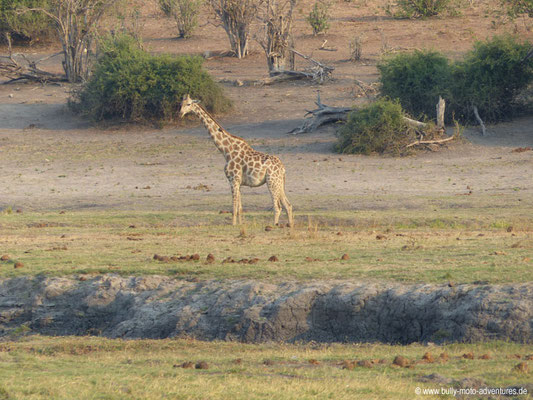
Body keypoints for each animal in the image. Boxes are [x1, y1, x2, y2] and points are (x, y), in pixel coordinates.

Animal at [181, 92, 294, 227]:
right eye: (180, 103)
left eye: (188, 104)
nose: (180, 113)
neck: (226, 150)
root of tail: (283, 168)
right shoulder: (239, 182)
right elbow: (240, 207)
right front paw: (240, 224)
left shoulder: (233, 180)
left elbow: (234, 207)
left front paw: (233, 224)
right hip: (278, 182)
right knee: (288, 205)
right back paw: (290, 225)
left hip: (271, 181)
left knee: (278, 206)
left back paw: (273, 226)